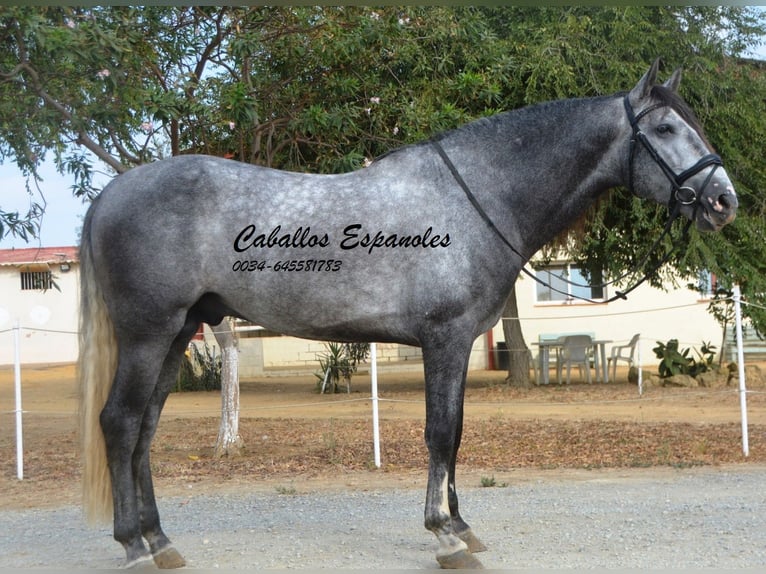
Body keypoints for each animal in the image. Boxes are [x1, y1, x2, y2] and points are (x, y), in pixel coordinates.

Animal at [78, 60, 737, 569]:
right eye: (666, 127)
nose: (724, 201)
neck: (476, 198)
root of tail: (111, 193)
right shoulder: (444, 339)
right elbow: (439, 433)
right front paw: (444, 536)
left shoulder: (459, 344)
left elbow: (457, 434)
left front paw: (463, 526)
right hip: (148, 333)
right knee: (120, 423)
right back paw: (133, 545)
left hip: (178, 333)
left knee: (144, 430)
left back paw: (160, 541)